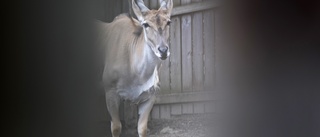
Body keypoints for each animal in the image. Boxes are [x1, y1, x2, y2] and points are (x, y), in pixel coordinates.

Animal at [98, 0, 172, 136]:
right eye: (146, 24)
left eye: (168, 22)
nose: (163, 51)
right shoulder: (110, 92)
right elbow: (116, 127)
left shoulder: (150, 97)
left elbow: (142, 128)